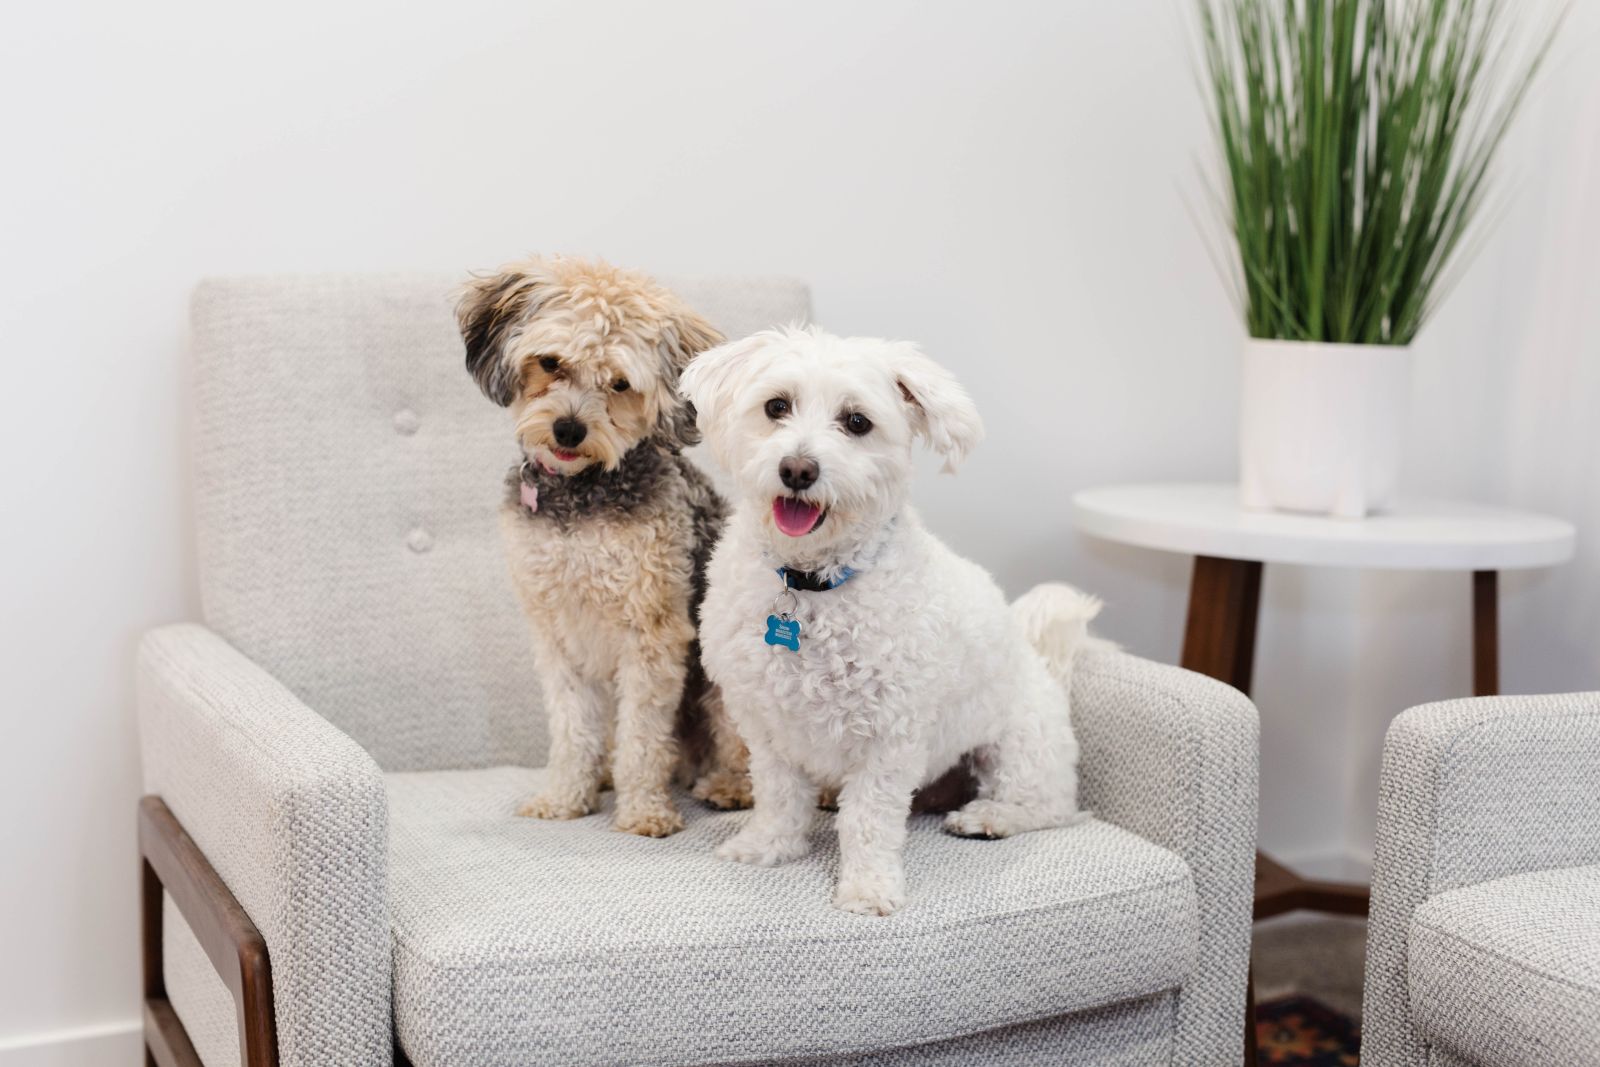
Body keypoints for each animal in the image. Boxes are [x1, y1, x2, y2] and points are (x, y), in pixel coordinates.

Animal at [675, 327, 1100, 921]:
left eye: (857, 422)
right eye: (776, 406)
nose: (797, 470)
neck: (810, 581)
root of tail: (1046, 668)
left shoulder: (890, 736)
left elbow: (868, 820)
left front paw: (868, 887)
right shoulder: (767, 726)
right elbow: (778, 795)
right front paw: (769, 845)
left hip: (1020, 745)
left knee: (1050, 807)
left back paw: (988, 818)